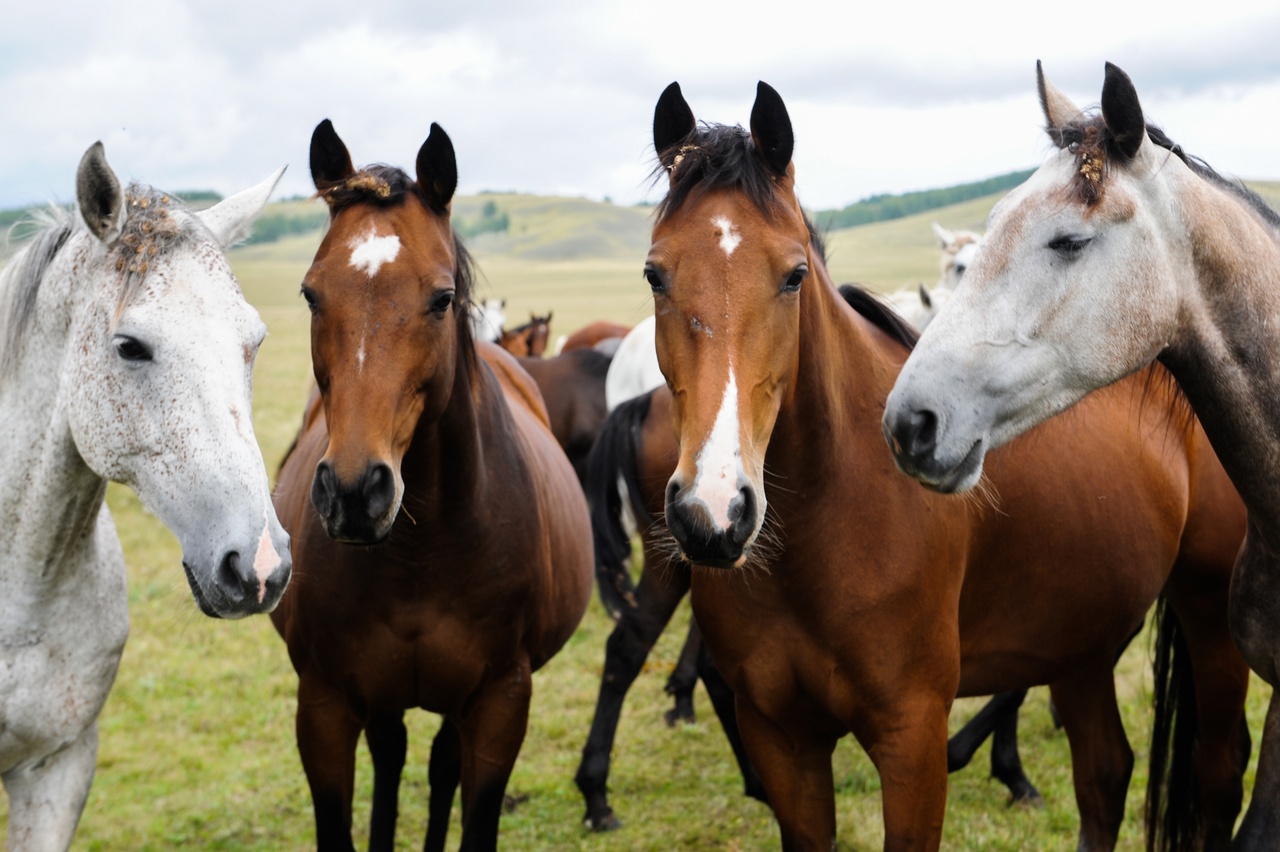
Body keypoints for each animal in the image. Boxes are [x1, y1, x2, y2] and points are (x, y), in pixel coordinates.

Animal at [272, 119, 591, 849]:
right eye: (310, 294)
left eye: (442, 299)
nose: (355, 493)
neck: (425, 552)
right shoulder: (324, 706)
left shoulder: (501, 703)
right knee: (392, 756)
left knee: (439, 762)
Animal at [645, 81, 1244, 849]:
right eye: (655, 274)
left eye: (794, 275)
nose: (715, 511)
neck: (827, 519)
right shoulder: (781, 740)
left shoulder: (913, 737)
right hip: (1081, 643)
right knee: (1105, 774)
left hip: (1208, 618)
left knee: (1219, 773)